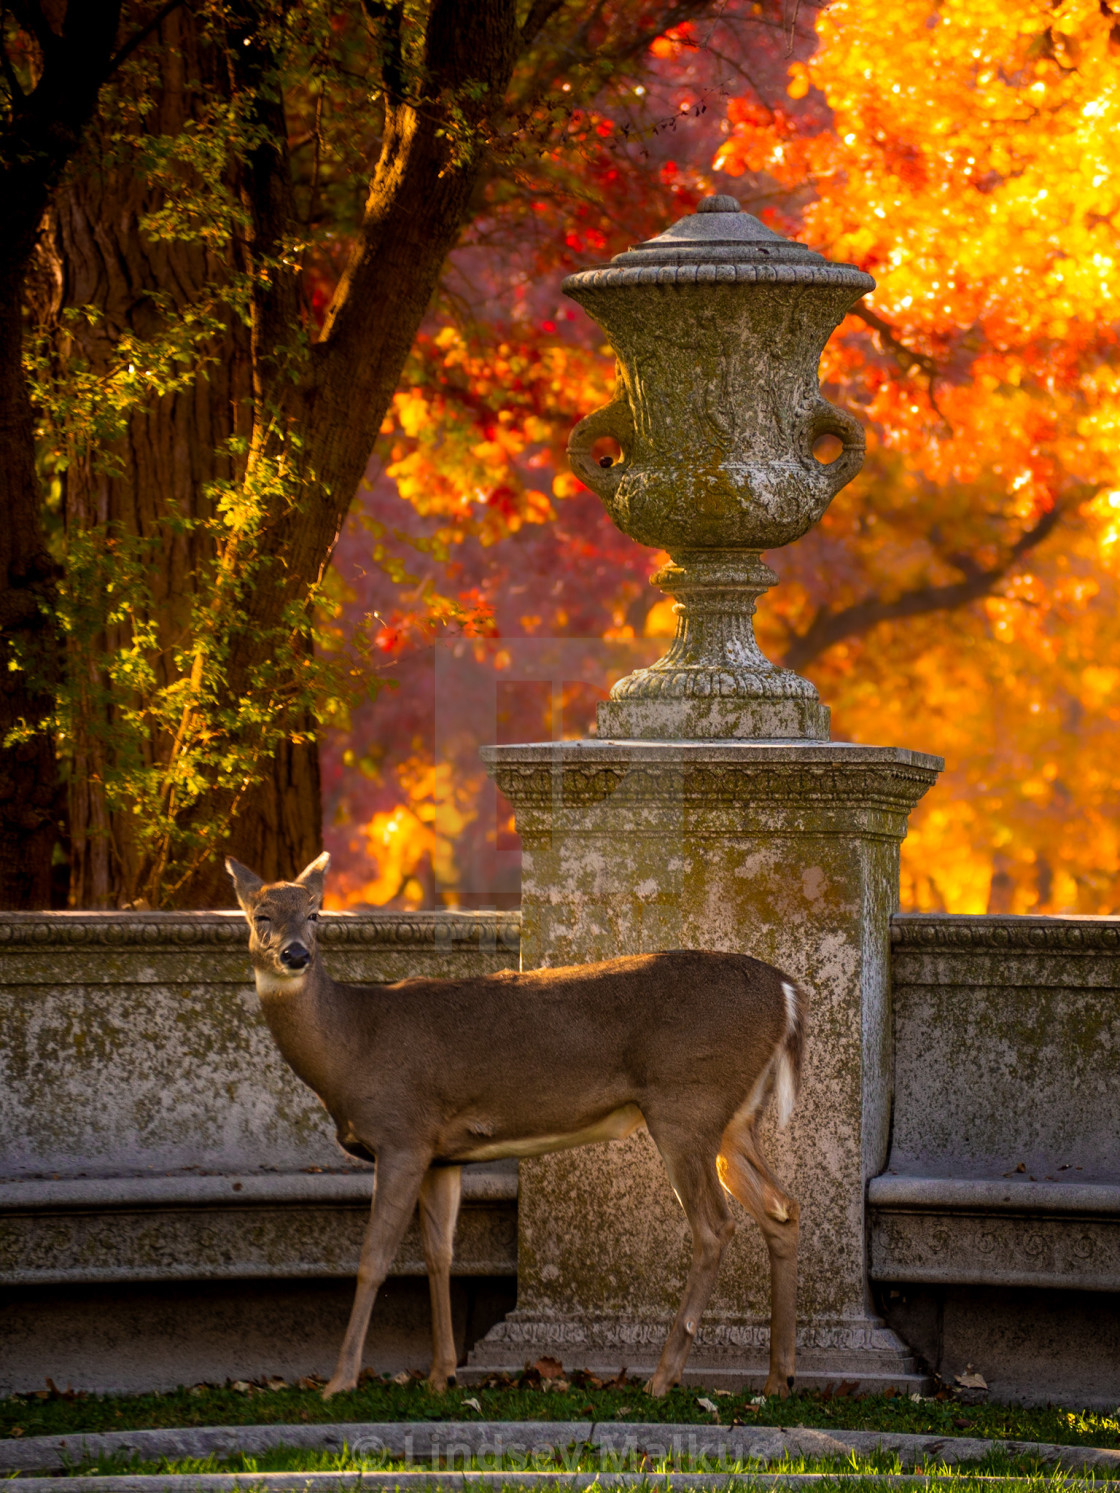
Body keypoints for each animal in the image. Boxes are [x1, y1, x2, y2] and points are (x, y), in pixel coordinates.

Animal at [228, 853, 806, 1397]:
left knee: (715, 1225)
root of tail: (787, 992)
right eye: (260, 914)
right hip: (734, 1119)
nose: (295, 954)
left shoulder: (402, 1133)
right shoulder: (441, 1155)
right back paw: (778, 1380)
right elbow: (439, 1255)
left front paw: (340, 1382)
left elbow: (374, 1258)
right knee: (781, 1208)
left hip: (685, 1102)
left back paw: (663, 1379)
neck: (351, 1047)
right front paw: (441, 1375)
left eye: (314, 913)